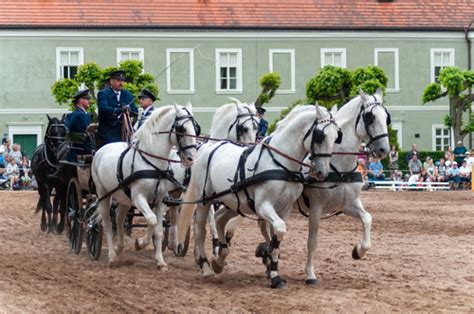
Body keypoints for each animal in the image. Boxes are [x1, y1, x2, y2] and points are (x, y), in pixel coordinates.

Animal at [91, 104, 197, 268]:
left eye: (195, 128)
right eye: (181, 128)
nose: (191, 158)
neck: (153, 163)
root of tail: (102, 149)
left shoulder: (160, 201)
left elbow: (158, 230)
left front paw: (160, 261)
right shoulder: (139, 198)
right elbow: (152, 220)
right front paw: (140, 243)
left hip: (124, 198)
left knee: (120, 218)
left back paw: (120, 246)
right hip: (103, 194)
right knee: (107, 223)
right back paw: (112, 256)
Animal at [176, 104, 338, 288]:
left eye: (336, 136)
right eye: (320, 135)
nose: (322, 172)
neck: (280, 163)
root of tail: (206, 148)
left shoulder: (285, 208)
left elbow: (277, 238)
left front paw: (274, 271)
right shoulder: (263, 206)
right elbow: (279, 229)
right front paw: (269, 261)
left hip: (233, 202)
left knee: (219, 219)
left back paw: (219, 260)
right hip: (205, 200)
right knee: (200, 230)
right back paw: (206, 267)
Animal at [298, 89, 390, 284]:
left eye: (386, 117)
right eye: (370, 117)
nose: (384, 150)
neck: (338, 164)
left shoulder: (346, 204)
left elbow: (367, 219)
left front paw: (358, 251)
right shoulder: (316, 207)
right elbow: (312, 241)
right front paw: (310, 274)